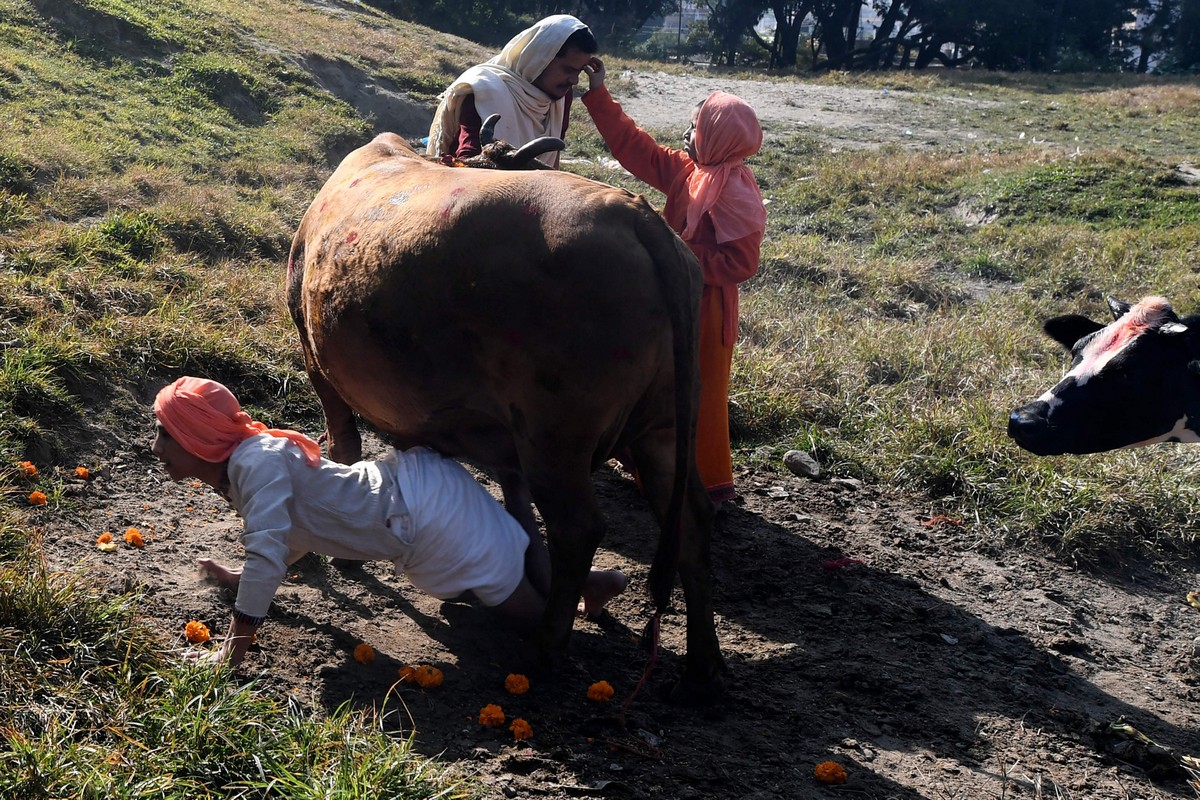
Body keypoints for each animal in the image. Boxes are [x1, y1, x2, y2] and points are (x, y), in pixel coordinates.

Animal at [286, 131, 724, 700]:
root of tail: (632, 211)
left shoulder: (317, 362)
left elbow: (345, 447)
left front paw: (347, 555)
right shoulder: (504, 443)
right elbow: (517, 511)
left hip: (555, 438)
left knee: (578, 530)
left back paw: (544, 650)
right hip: (663, 431)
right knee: (693, 523)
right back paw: (702, 666)